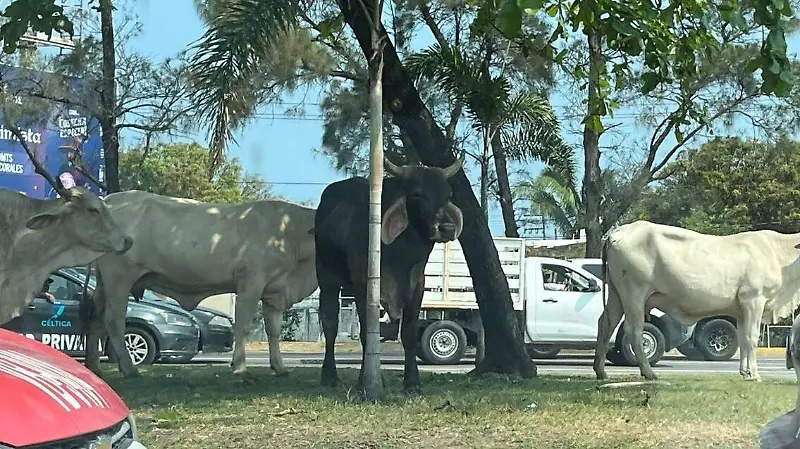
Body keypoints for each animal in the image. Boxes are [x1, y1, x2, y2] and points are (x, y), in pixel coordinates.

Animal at [83, 190, 318, 378]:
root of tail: (112, 199)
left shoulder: (274, 291)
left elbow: (274, 331)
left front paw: (280, 367)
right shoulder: (250, 282)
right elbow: (243, 326)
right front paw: (240, 368)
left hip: (104, 283)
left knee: (95, 319)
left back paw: (94, 368)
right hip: (119, 279)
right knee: (114, 322)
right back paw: (129, 370)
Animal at [315, 154, 465, 391]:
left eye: (448, 195)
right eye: (417, 194)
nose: (447, 228)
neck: (401, 254)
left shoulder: (417, 288)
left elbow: (409, 334)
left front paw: (412, 382)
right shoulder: (363, 286)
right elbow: (366, 335)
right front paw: (364, 383)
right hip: (326, 277)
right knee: (330, 324)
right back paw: (329, 376)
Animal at [593, 220, 800, 382]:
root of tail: (617, 232)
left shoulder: (741, 308)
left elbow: (743, 338)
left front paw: (744, 372)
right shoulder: (754, 299)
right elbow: (752, 337)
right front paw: (754, 374)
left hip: (616, 293)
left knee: (605, 324)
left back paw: (601, 371)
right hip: (634, 292)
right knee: (634, 331)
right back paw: (649, 373)